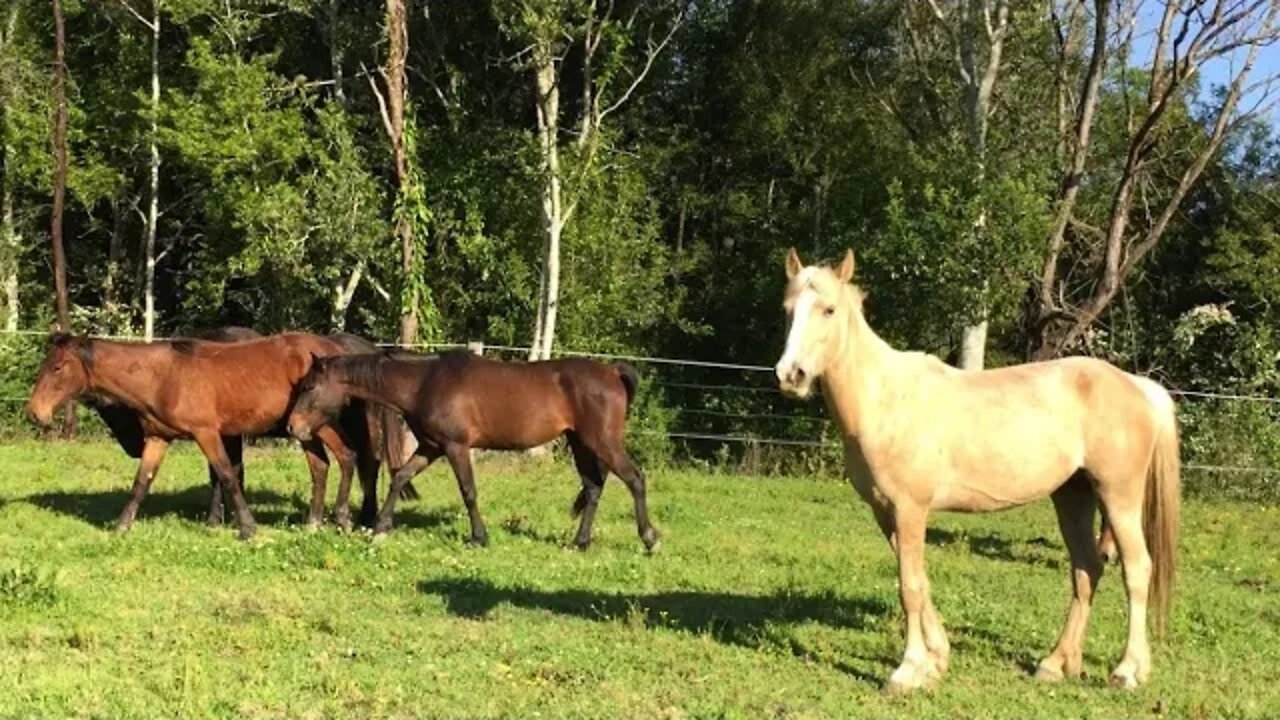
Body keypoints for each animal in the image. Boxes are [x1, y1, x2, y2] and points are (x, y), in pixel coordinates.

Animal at [26, 330, 404, 538]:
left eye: (57, 367)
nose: (35, 413)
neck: (162, 377)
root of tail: (335, 350)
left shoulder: (208, 434)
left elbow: (227, 475)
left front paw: (246, 528)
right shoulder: (158, 439)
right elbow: (141, 483)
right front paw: (121, 527)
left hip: (319, 423)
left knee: (349, 457)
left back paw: (343, 518)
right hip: (305, 429)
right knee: (323, 465)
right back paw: (314, 522)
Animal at [282, 348, 660, 548]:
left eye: (310, 387)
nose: (292, 426)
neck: (424, 383)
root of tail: (612, 370)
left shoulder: (456, 447)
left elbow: (468, 491)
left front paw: (479, 536)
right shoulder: (431, 447)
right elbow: (401, 477)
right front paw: (381, 527)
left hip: (602, 441)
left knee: (635, 479)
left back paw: (649, 538)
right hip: (580, 442)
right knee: (594, 487)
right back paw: (579, 542)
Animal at [768, 245, 1177, 691]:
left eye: (828, 309)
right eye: (786, 310)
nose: (791, 376)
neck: (885, 399)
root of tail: (1138, 386)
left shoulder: (910, 509)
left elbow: (909, 586)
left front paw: (907, 670)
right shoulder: (885, 512)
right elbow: (920, 580)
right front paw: (936, 660)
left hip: (1118, 496)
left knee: (1137, 570)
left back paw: (1128, 670)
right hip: (1074, 495)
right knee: (1087, 569)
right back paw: (1056, 664)